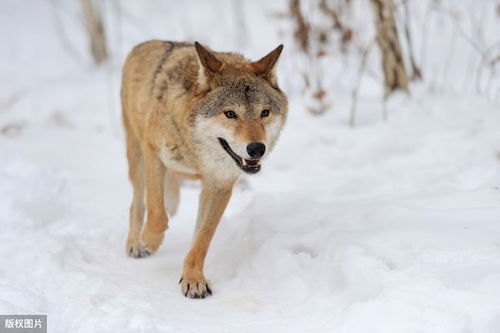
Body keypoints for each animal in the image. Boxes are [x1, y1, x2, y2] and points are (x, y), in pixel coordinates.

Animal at [120, 40, 290, 296]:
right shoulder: (154, 153)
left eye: (265, 113)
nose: (257, 149)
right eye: (230, 113)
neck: (197, 153)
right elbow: (158, 214)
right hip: (137, 156)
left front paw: (193, 279)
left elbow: (202, 239)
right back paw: (135, 244)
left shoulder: (220, 185)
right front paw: (150, 240)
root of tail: (145, 44)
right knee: (137, 204)